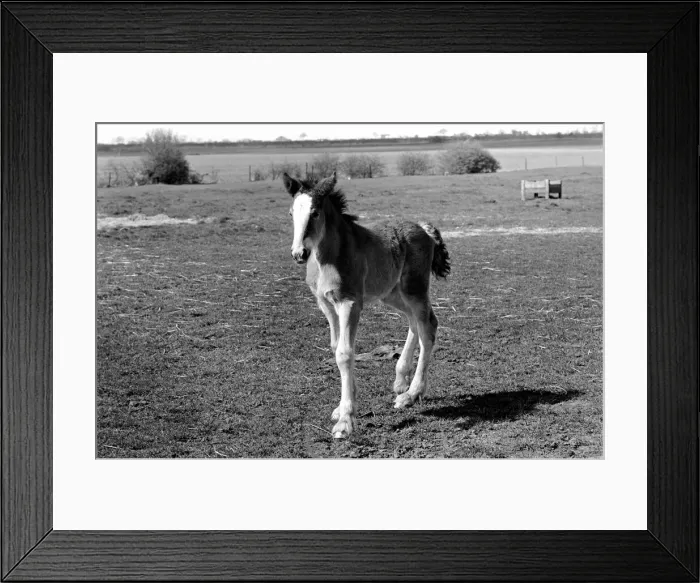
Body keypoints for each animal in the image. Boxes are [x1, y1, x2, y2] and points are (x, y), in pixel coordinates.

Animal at [283, 172, 451, 438]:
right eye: (291, 213)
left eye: (315, 213)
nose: (299, 253)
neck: (330, 256)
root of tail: (424, 229)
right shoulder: (326, 304)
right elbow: (336, 347)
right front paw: (343, 406)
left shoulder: (350, 302)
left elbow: (344, 353)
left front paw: (345, 421)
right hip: (391, 293)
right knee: (414, 321)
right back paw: (400, 381)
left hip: (414, 289)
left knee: (428, 326)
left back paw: (411, 394)